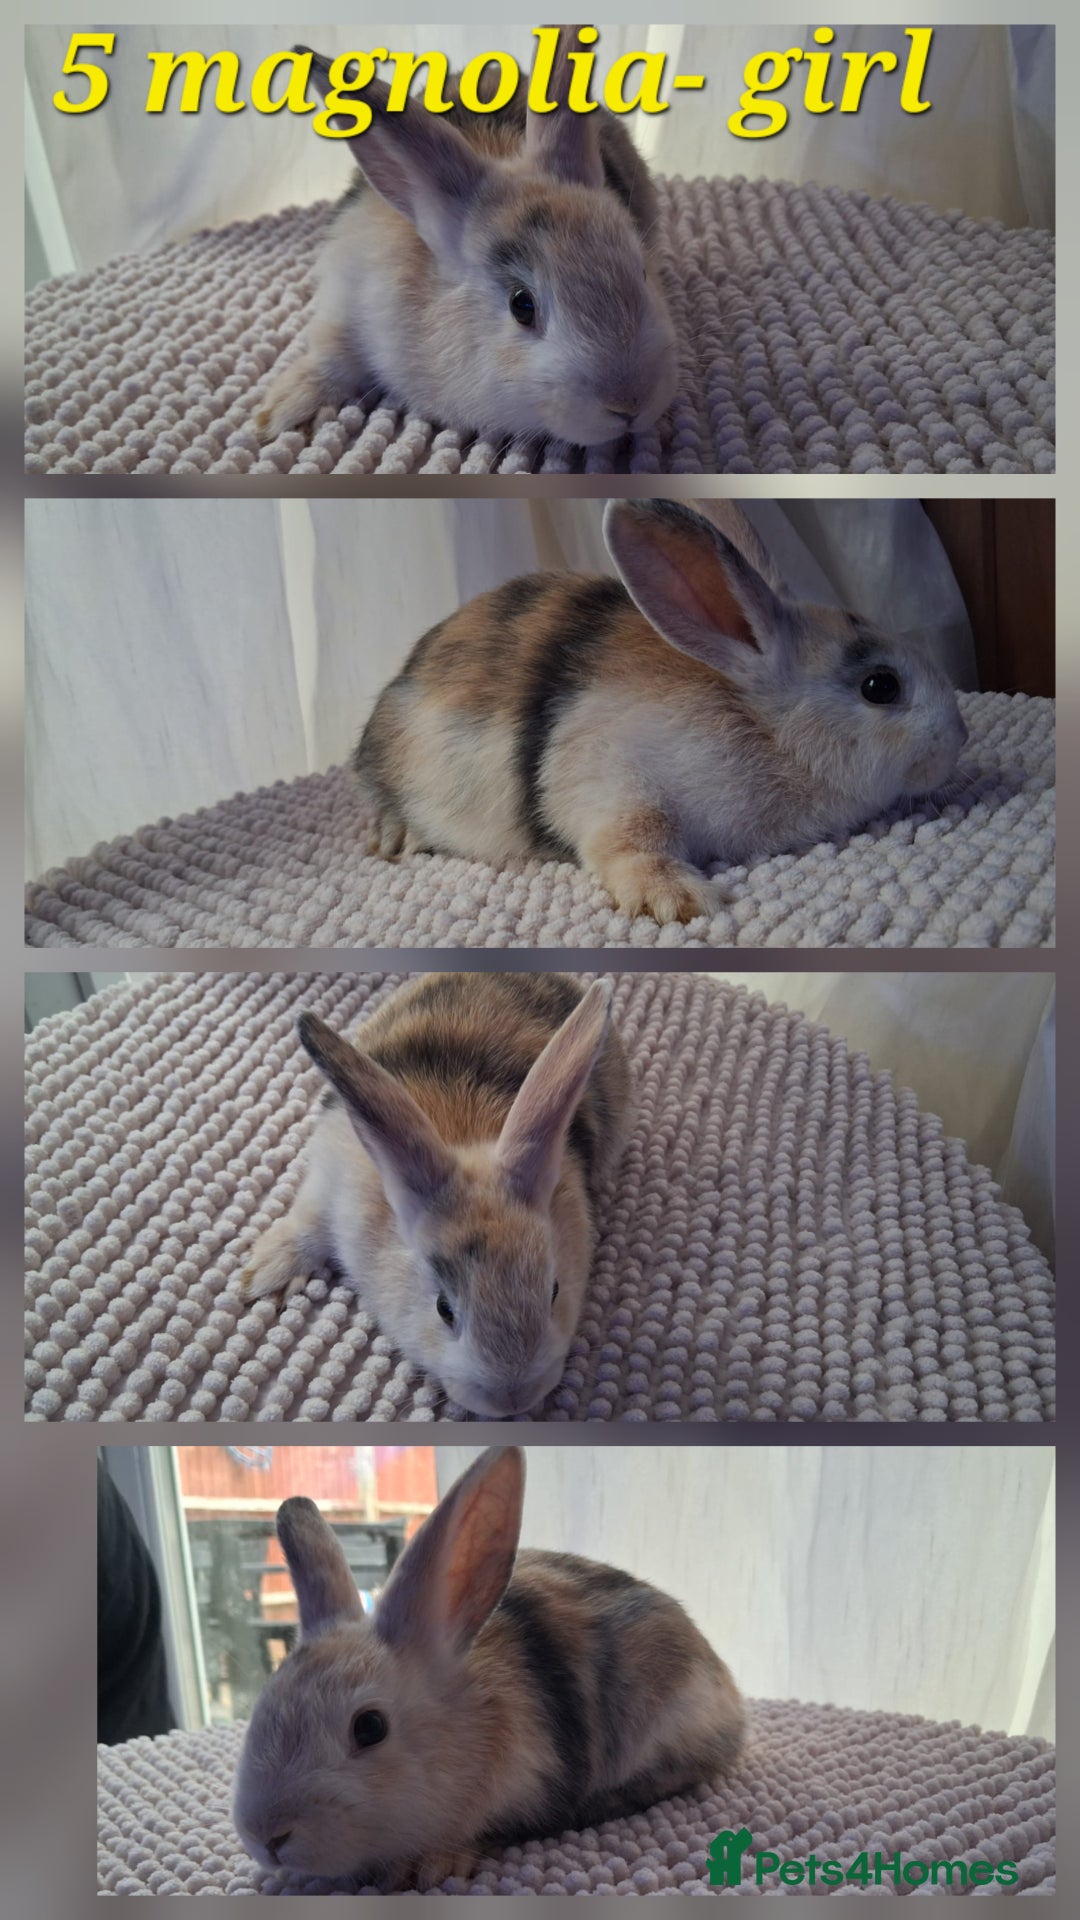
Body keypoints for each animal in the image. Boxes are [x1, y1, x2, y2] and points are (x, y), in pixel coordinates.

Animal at [241, 974, 632, 1418]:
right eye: (444, 1309)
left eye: (554, 1290)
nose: (511, 1399)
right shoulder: (327, 1181)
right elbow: (306, 1226)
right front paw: (264, 1275)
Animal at [255, 26, 678, 448]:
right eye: (522, 305)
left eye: (642, 272)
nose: (629, 403)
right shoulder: (346, 296)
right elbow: (332, 355)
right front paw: (282, 410)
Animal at [353, 497, 970, 925]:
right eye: (880, 686)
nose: (959, 737)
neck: (766, 727)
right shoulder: (619, 788)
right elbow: (630, 846)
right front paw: (679, 898)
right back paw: (394, 839)